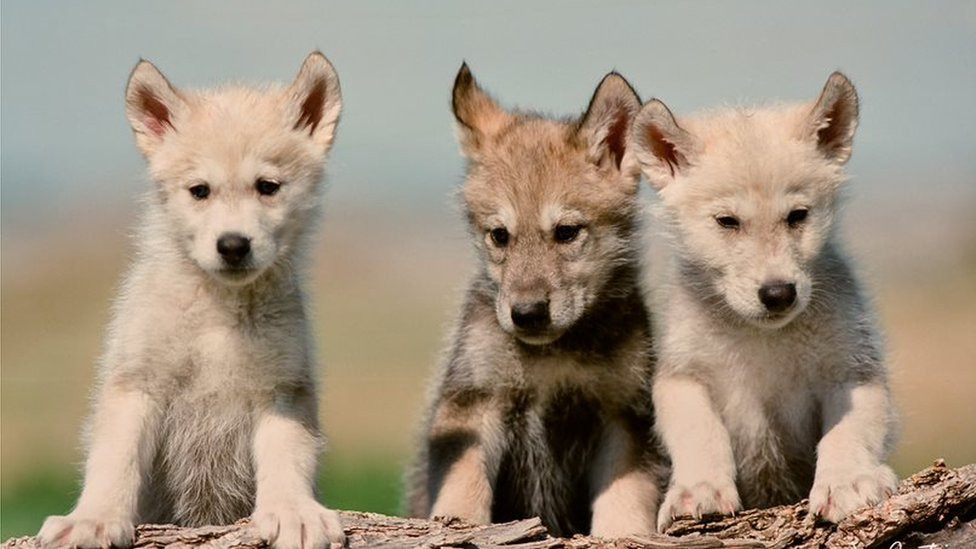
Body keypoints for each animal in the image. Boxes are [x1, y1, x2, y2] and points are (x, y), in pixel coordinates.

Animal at [37, 52, 345, 549]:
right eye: (200, 190)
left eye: (268, 186)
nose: (233, 245)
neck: (219, 310)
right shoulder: (136, 384)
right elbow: (115, 461)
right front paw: (94, 518)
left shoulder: (282, 390)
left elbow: (287, 457)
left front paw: (292, 512)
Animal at [405, 64, 664, 539]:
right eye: (499, 235)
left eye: (566, 232)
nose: (526, 314)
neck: (553, 357)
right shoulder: (473, 402)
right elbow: (462, 486)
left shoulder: (625, 415)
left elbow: (626, 498)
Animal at [629, 72, 898, 530]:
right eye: (727, 222)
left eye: (797, 216)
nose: (778, 294)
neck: (762, 340)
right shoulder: (682, 375)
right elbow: (700, 433)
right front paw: (699, 489)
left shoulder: (852, 370)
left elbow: (847, 432)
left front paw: (847, 481)